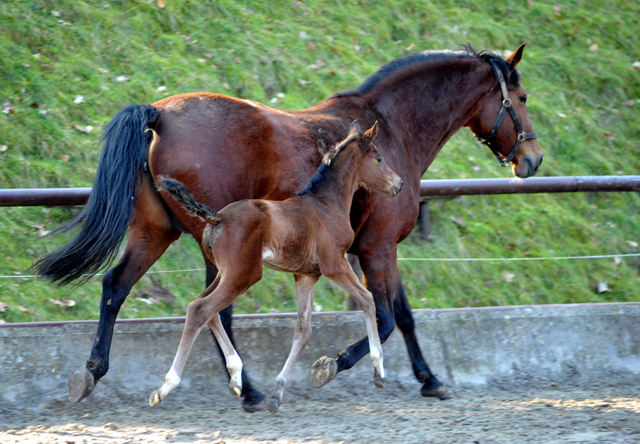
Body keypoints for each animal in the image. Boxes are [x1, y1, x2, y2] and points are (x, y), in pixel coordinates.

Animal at [149, 121, 400, 412]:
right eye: (379, 158)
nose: (399, 183)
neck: (327, 204)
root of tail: (218, 217)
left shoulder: (306, 276)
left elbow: (303, 331)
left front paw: (278, 393)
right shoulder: (334, 264)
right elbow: (367, 300)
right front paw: (379, 373)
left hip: (226, 273)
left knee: (204, 308)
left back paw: (236, 379)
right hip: (244, 275)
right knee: (201, 310)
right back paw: (167, 386)